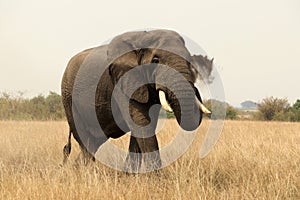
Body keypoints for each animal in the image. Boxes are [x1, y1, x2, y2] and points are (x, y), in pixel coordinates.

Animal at [61, 28, 212, 172]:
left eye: (189, 61)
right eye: (155, 60)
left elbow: (143, 126)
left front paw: (130, 175)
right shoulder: (122, 82)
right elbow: (142, 124)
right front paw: (156, 178)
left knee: (94, 142)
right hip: (68, 97)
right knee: (84, 141)